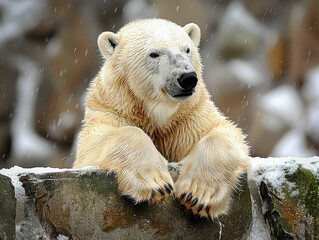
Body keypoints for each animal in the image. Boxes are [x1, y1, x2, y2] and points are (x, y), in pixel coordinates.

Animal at [74, 18, 250, 218]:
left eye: (187, 49)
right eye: (154, 54)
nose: (187, 78)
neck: (157, 115)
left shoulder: (189, 118)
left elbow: (225, 133)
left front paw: (197, 195)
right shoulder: (111, 111)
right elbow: (96, 142)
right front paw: (156, 184)